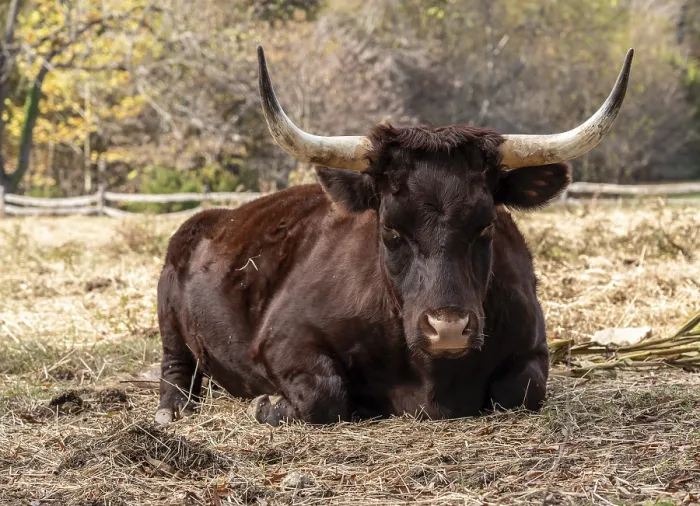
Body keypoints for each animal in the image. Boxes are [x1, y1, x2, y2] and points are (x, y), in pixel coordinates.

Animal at [154, 46, 633, 426]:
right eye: (390, 228)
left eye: (486, 224)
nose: (448, 328)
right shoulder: (283, 338)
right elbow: (324, 394)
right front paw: (268, 404)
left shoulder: (534, 347)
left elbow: (522, 390)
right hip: (169, 313)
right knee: (175, 366)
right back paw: (172, 409)